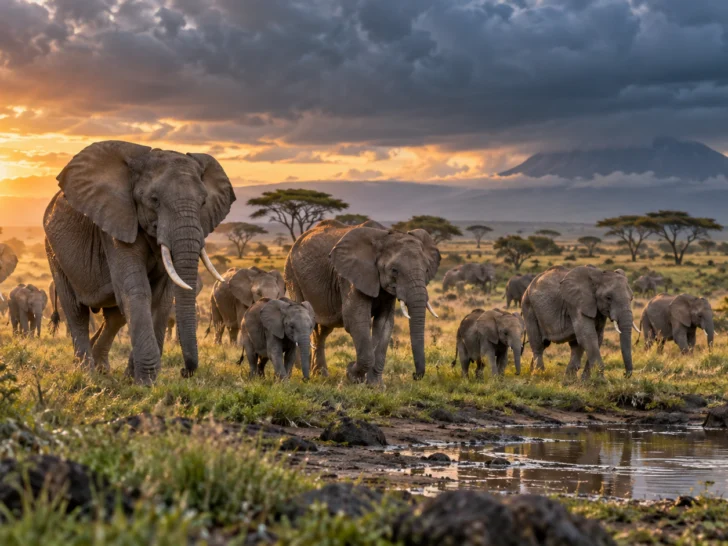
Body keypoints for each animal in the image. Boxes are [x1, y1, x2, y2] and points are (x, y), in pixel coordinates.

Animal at [44, 140, 235, 383]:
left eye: (203, 202)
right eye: (154, 200)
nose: (184, 371)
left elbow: (161, 297)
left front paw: (133, 379)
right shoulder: (117, 222)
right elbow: (137, 290)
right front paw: (146, 382)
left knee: (114, 317)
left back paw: (101, 368)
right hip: (53, 251)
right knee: (76, 310)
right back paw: (87, 373)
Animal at [285, 219, 441, 384]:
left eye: (426, 270)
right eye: (394, 270)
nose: (415, 375)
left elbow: (384, 324)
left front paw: (375, 385)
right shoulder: (349, 277)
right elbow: (356, 319)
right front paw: (352, 375)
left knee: (323, 330)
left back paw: (321, 375)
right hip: (292, 275)